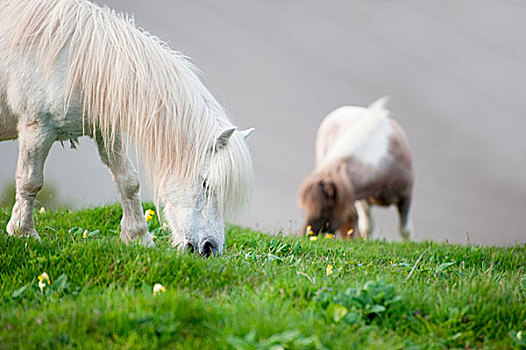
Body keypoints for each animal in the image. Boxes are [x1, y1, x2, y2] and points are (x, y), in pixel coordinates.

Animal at [0, 0, 256, 258]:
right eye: (206, 184)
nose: (210, 248)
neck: (74, 59)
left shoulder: (106, 131)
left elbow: (128, 181)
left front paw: (138, 237)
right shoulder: (37, 129)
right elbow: (30, 181)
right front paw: (24, 233)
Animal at [300, 98, 414, 241]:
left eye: (326, 208)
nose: (307, 234)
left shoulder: (406, 196)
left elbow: (405, 230)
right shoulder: (362, 199)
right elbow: (367, 227)